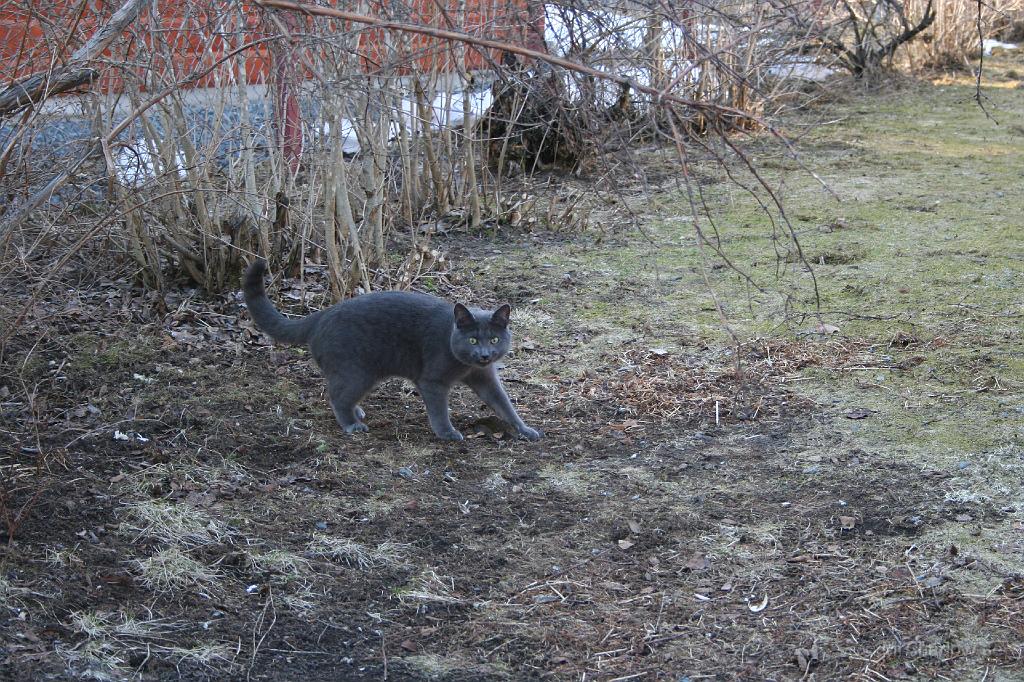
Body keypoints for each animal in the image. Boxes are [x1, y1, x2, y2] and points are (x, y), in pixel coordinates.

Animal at [240, 260, 544, 440]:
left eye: (493, 340)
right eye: (472, 340)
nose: (483, 355)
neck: (465, 365)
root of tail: (320, 315)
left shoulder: (485, 377)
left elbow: (503, 403)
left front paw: (525, 429)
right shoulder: (432, 380)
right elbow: (439, 410)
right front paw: (447, 433)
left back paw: (357, 413)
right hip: (358, 370)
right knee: (337, 396)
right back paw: (352, 424)